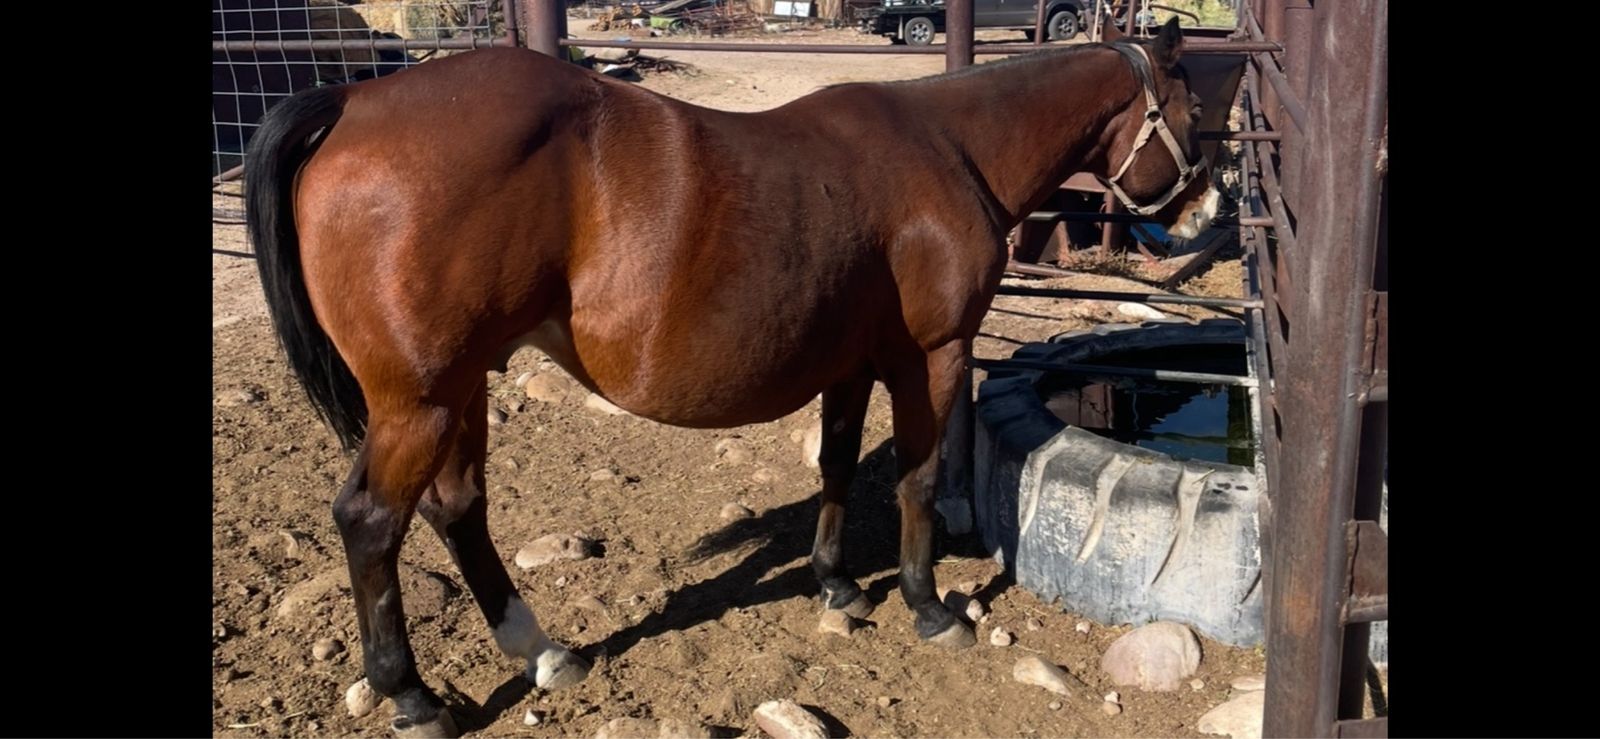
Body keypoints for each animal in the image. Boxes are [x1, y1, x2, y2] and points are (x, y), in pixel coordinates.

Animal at [243, 17, 1216, 737]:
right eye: (1196, 108)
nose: (1204, 209)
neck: (949, 147)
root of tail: (354, 100)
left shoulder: (850, 362)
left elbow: (835, 466)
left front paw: (836, 584)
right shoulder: (931, 355)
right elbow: (916, 477)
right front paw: (928, 605)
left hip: (459, 389)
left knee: (457, 509)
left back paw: (545, 652)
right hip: (420, 401)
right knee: (371, 522)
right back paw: (412, 695)